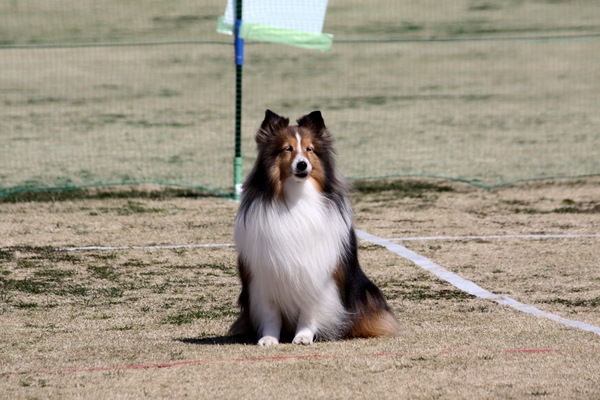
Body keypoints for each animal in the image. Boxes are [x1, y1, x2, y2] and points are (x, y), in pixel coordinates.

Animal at [230, 110, 398, 346]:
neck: (298, 197)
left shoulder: (317, 272)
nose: (302, 165)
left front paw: (303, 336)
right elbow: (271, 313)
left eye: (309, 149)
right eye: (288, 149)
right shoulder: (264, 275)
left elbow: (309, 310)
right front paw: (269, 338)